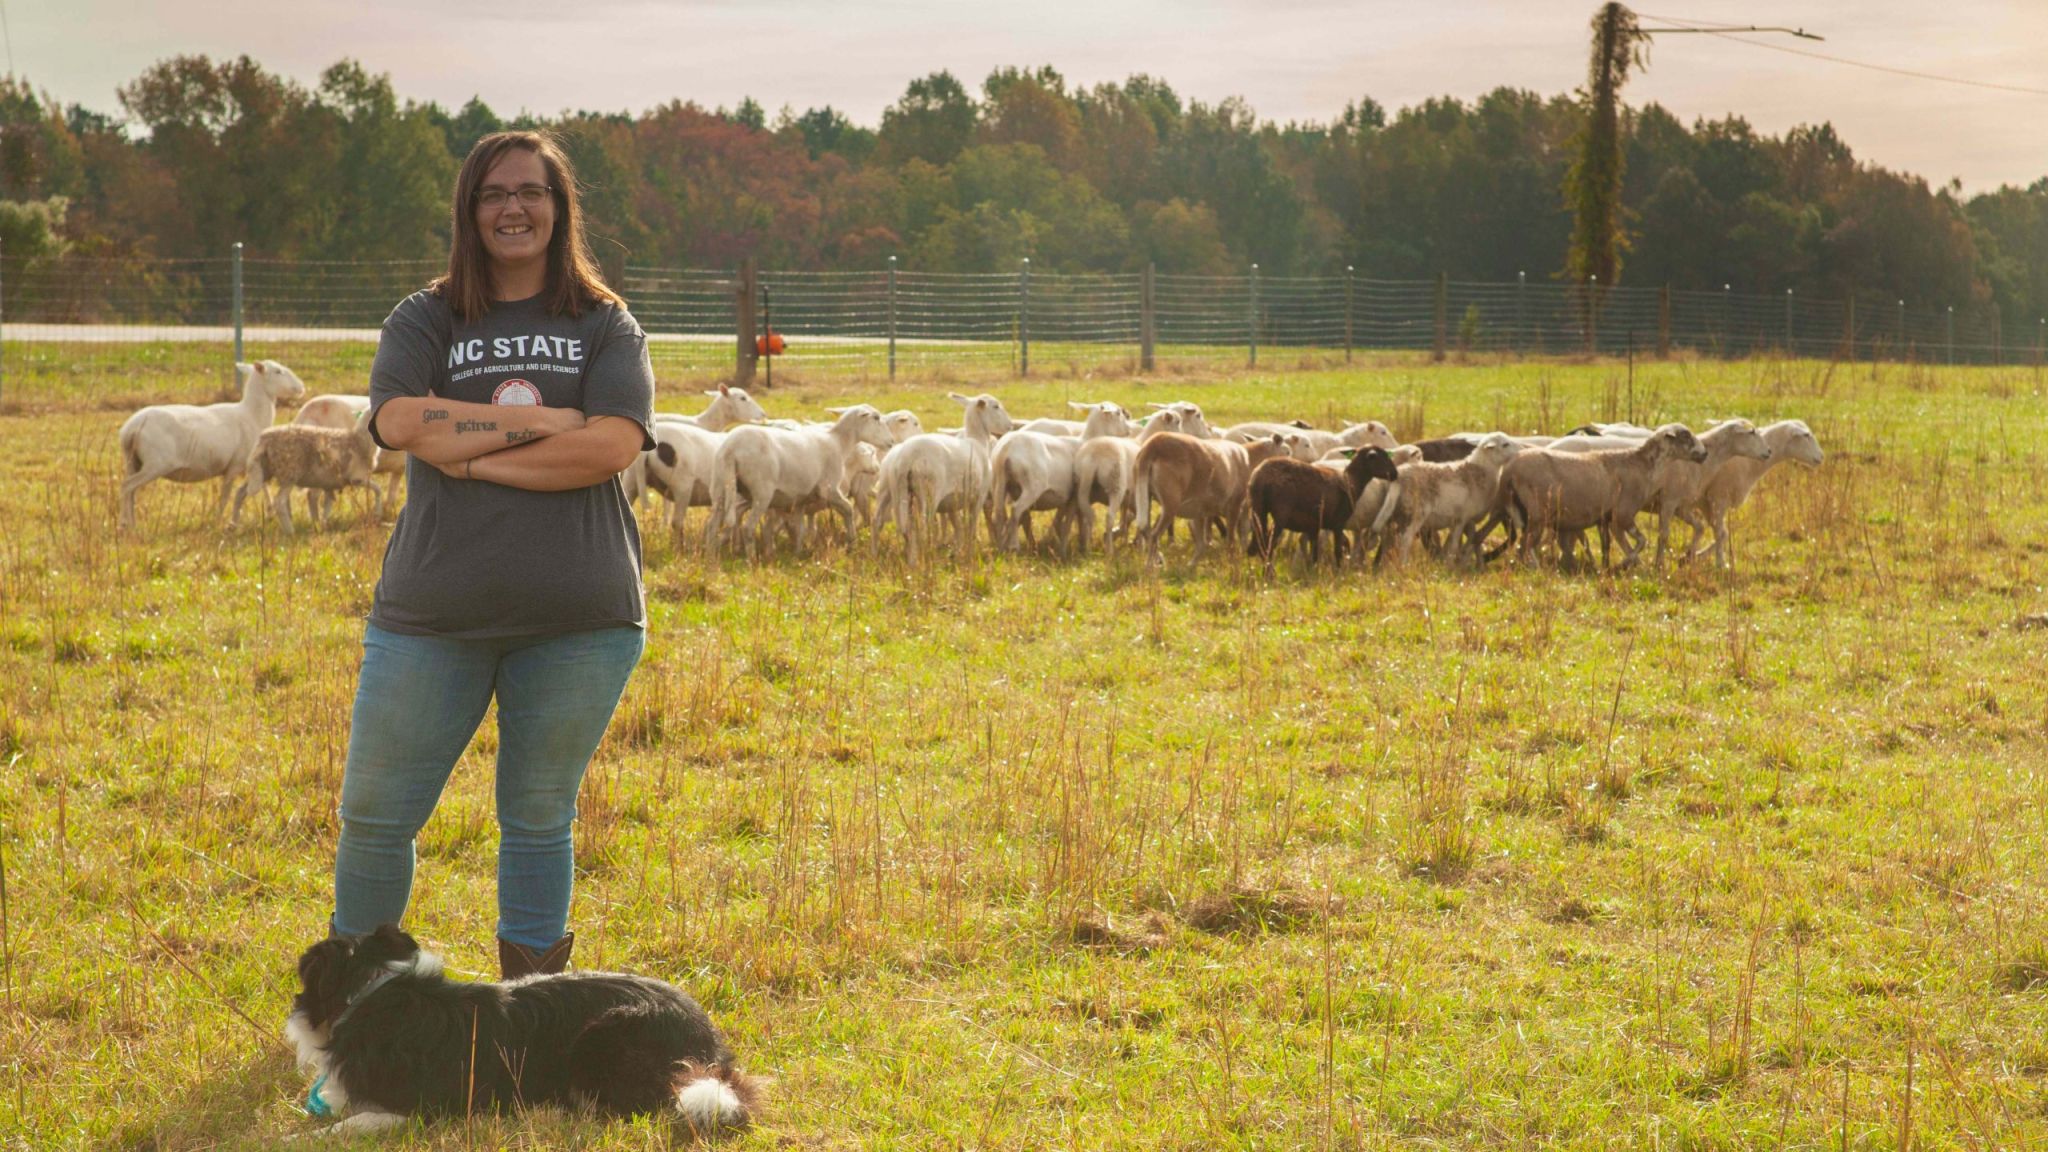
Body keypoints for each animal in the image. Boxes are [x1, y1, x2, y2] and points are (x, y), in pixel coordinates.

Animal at [117, 358, 307, 528]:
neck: (252, 415)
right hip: (156, 463)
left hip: (133, 461)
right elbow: (225, 496)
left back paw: (131, 522)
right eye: (278, 371)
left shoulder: (253, 463)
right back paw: (126, 525)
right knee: (127, 486)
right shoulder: (234, 466)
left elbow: (263, 486)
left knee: (131, 490)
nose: (302, 387)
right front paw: (217, 520)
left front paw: (269, 512)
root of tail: (130, 429)